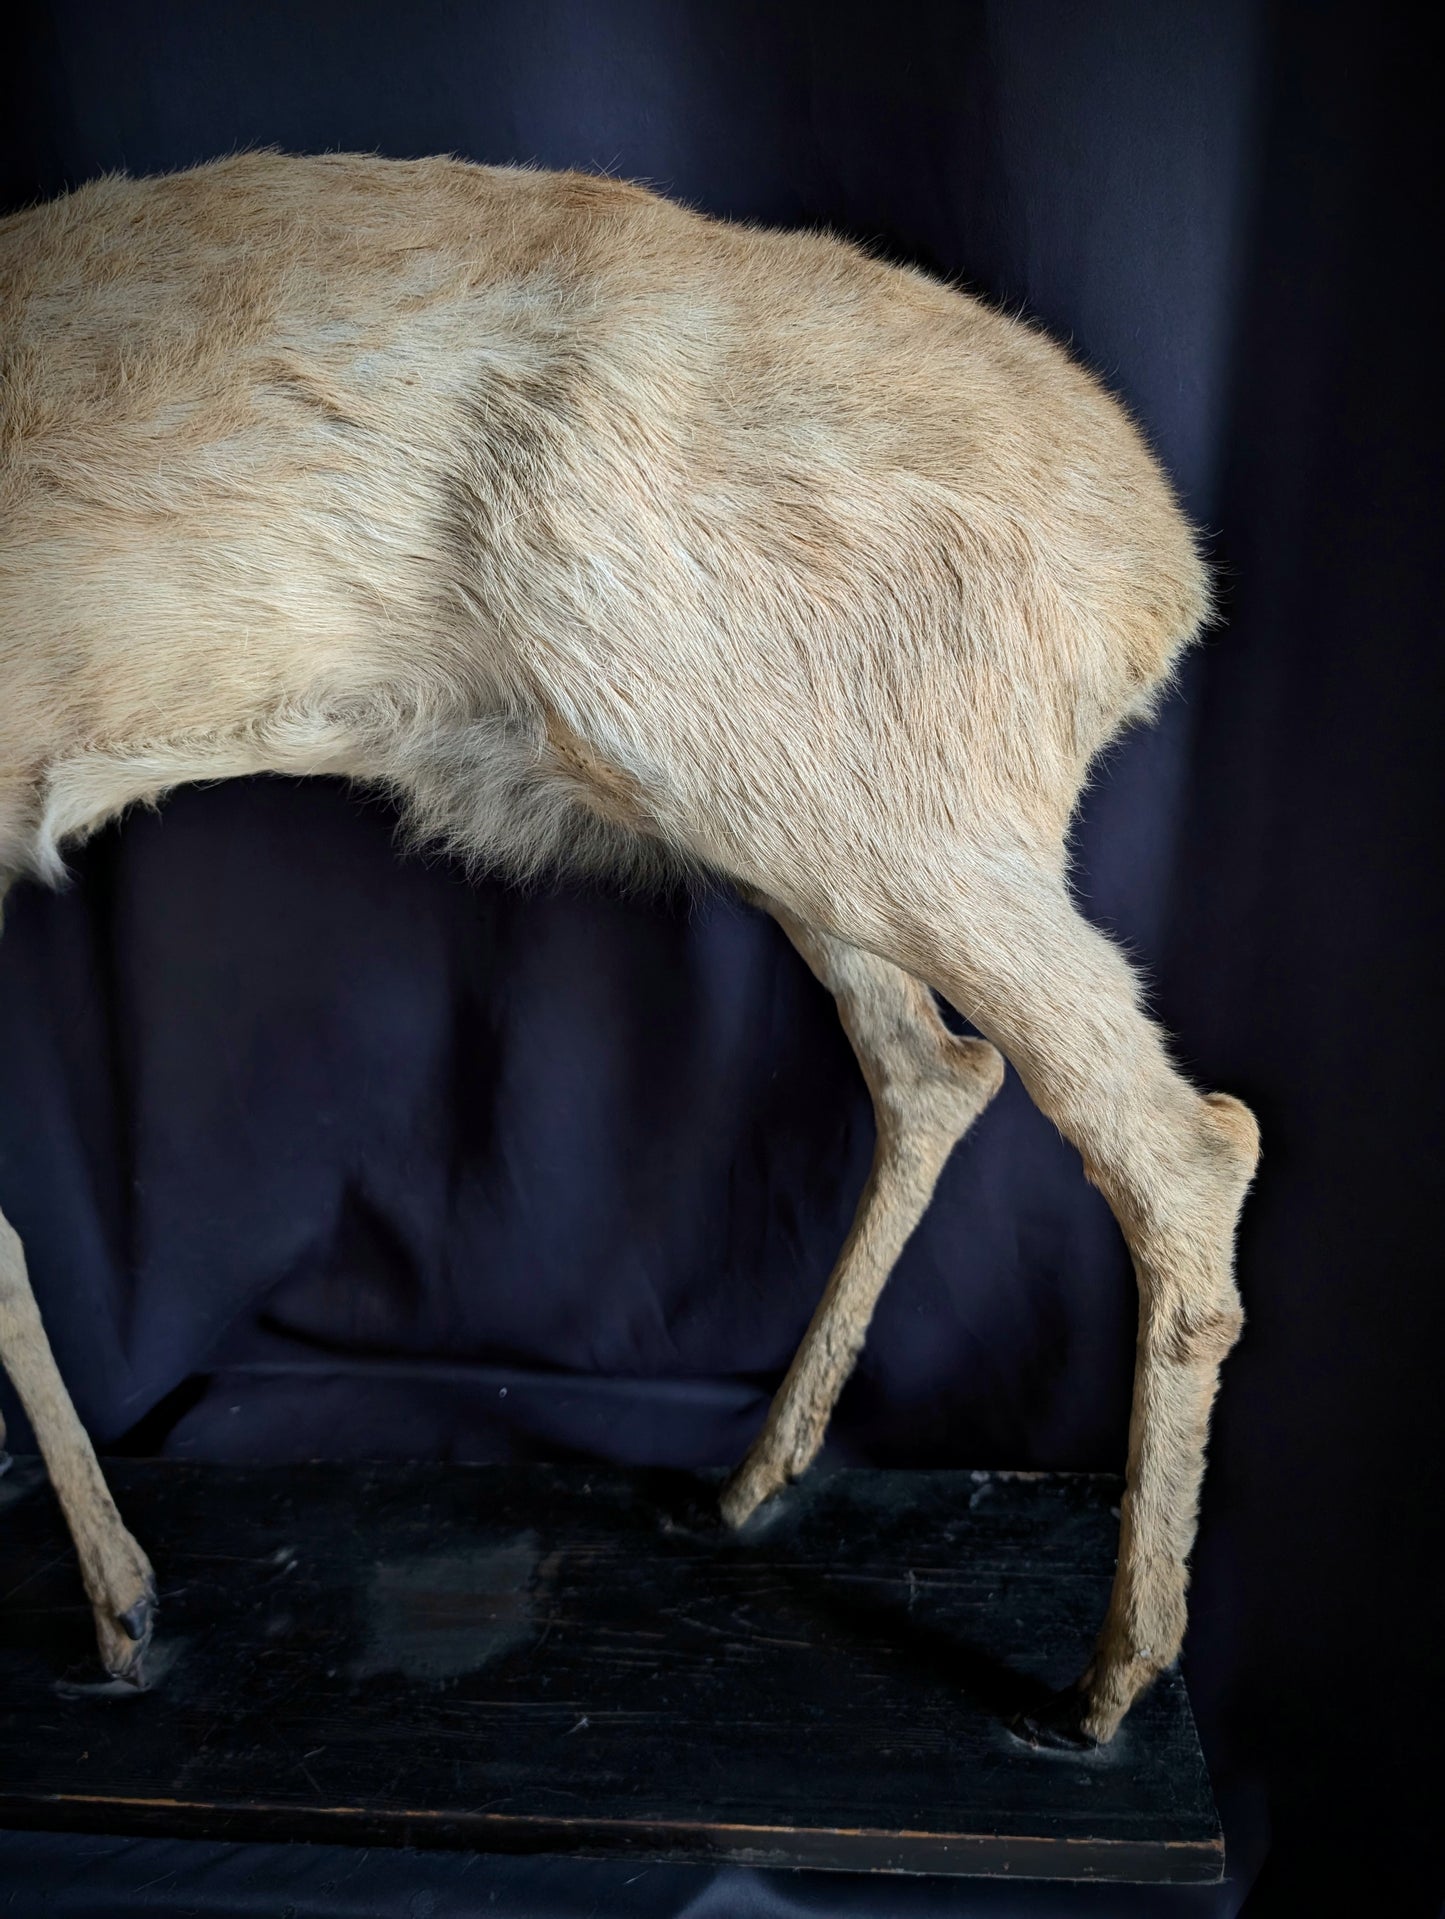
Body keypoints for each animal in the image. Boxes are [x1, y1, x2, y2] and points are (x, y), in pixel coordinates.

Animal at [0, 150, 1259, 1749]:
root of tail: (1160, 581)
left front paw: (121, 1606)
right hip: (804, 826)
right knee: (937, 1068)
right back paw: (749, 1482)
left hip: (879, 819)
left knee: (1182, 1140)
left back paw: (1107, 1681)